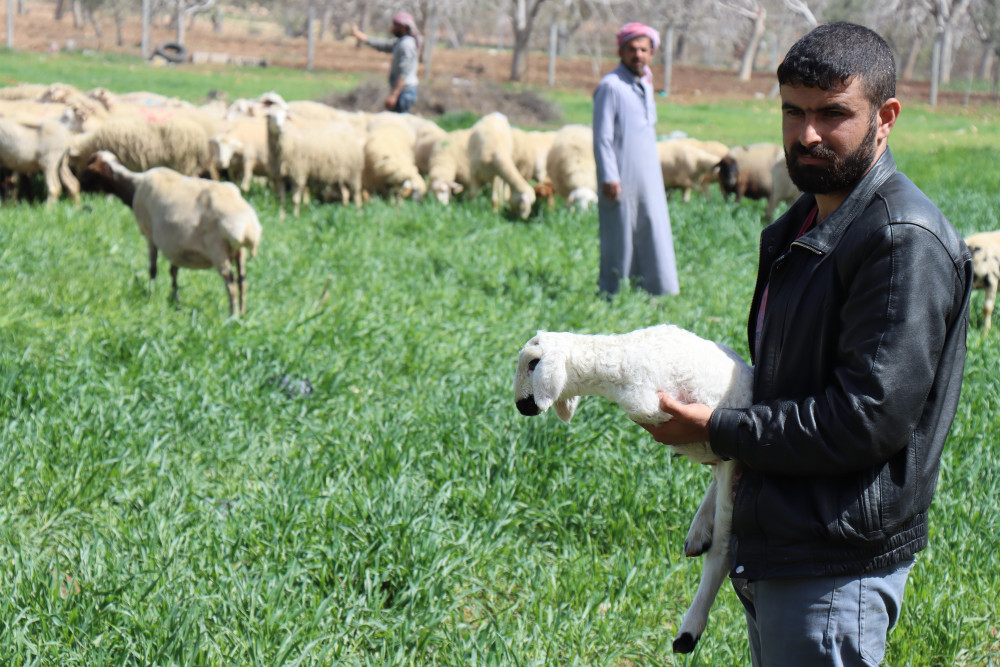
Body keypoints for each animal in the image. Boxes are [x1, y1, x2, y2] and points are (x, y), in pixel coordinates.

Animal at [84, 151, 262, 318]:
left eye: (89, 168)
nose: (82, 190)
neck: (134, 185)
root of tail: (249, 227)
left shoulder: (150, 236)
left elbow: (153, 269)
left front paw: (152, 295)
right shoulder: (175, 245)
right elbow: (173, 272)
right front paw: (175, 301)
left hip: (217, 249)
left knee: (230, 282)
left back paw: (232, 316)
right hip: (239, 252)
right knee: (242, 281)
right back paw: (243, 313)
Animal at [512, 326, 752, 656]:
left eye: (533, 364)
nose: (521, 405)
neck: (616, 358)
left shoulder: (652, 406)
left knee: (722, 551)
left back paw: (688, 632)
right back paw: (699, 531)